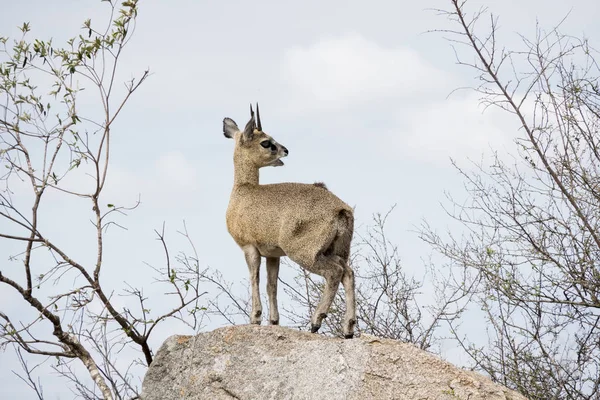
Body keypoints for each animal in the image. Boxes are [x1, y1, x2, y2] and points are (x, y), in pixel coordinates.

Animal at [225, 104, 356, 340]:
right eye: (266, 142)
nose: (285, 151)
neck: (243, 192)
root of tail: (341, 209)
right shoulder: (273, 254)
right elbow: (271, 285)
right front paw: (274, 321)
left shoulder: (250, 248)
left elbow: (254, 277)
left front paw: (255, 317)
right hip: (335, 251)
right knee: (348, 272)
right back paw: (348, 328)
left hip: (305, 253)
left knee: (334, 273)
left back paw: (316, 322)